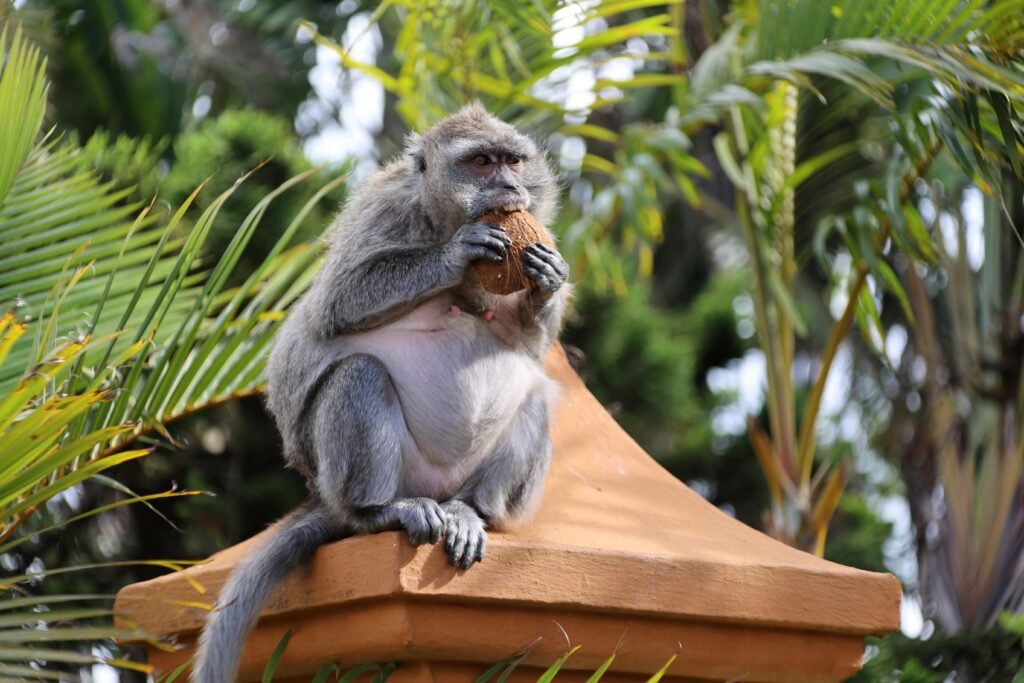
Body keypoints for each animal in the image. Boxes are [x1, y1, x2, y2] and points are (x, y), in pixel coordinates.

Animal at [192, 101, 569, 683]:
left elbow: (527, 345)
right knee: (360, 374)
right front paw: (453, 255)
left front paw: (548, 280)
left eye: (512, 161)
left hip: (463, 483)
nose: (510, 186)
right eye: (481, 162)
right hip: (357, 476)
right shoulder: (384, 212)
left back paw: (474, 512)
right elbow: (339, 300)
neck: (439, 217)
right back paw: (376, 512)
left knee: (536, 399)